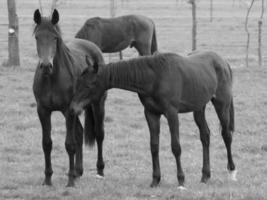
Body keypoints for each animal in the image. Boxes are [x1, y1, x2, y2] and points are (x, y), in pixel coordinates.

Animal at [31, 8, 106, 187]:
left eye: (55, 37)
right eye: (37, 37)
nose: (46, 66)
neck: (52, 78)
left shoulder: (68, 110)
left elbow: (69, 144)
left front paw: (70, 180)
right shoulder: (43, 111)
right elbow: (47, 144)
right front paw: (48, 179)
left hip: (97, 104)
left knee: (99, 134)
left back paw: (99, 170)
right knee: (79, 132)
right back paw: (79, 171)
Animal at [70, 51, 238, 188]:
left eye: (90, 84)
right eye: (78, 82)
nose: (73, 108)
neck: (155, 77)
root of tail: (223, 62)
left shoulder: (171, 113)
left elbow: (176, 147)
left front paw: (181, 180)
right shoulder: (151, 114)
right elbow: (154, 146)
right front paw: (155, 180)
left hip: (222, 105)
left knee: (226, 135)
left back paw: (232, 172)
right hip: (199, 108)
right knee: (205, 136)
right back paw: (205, 176)